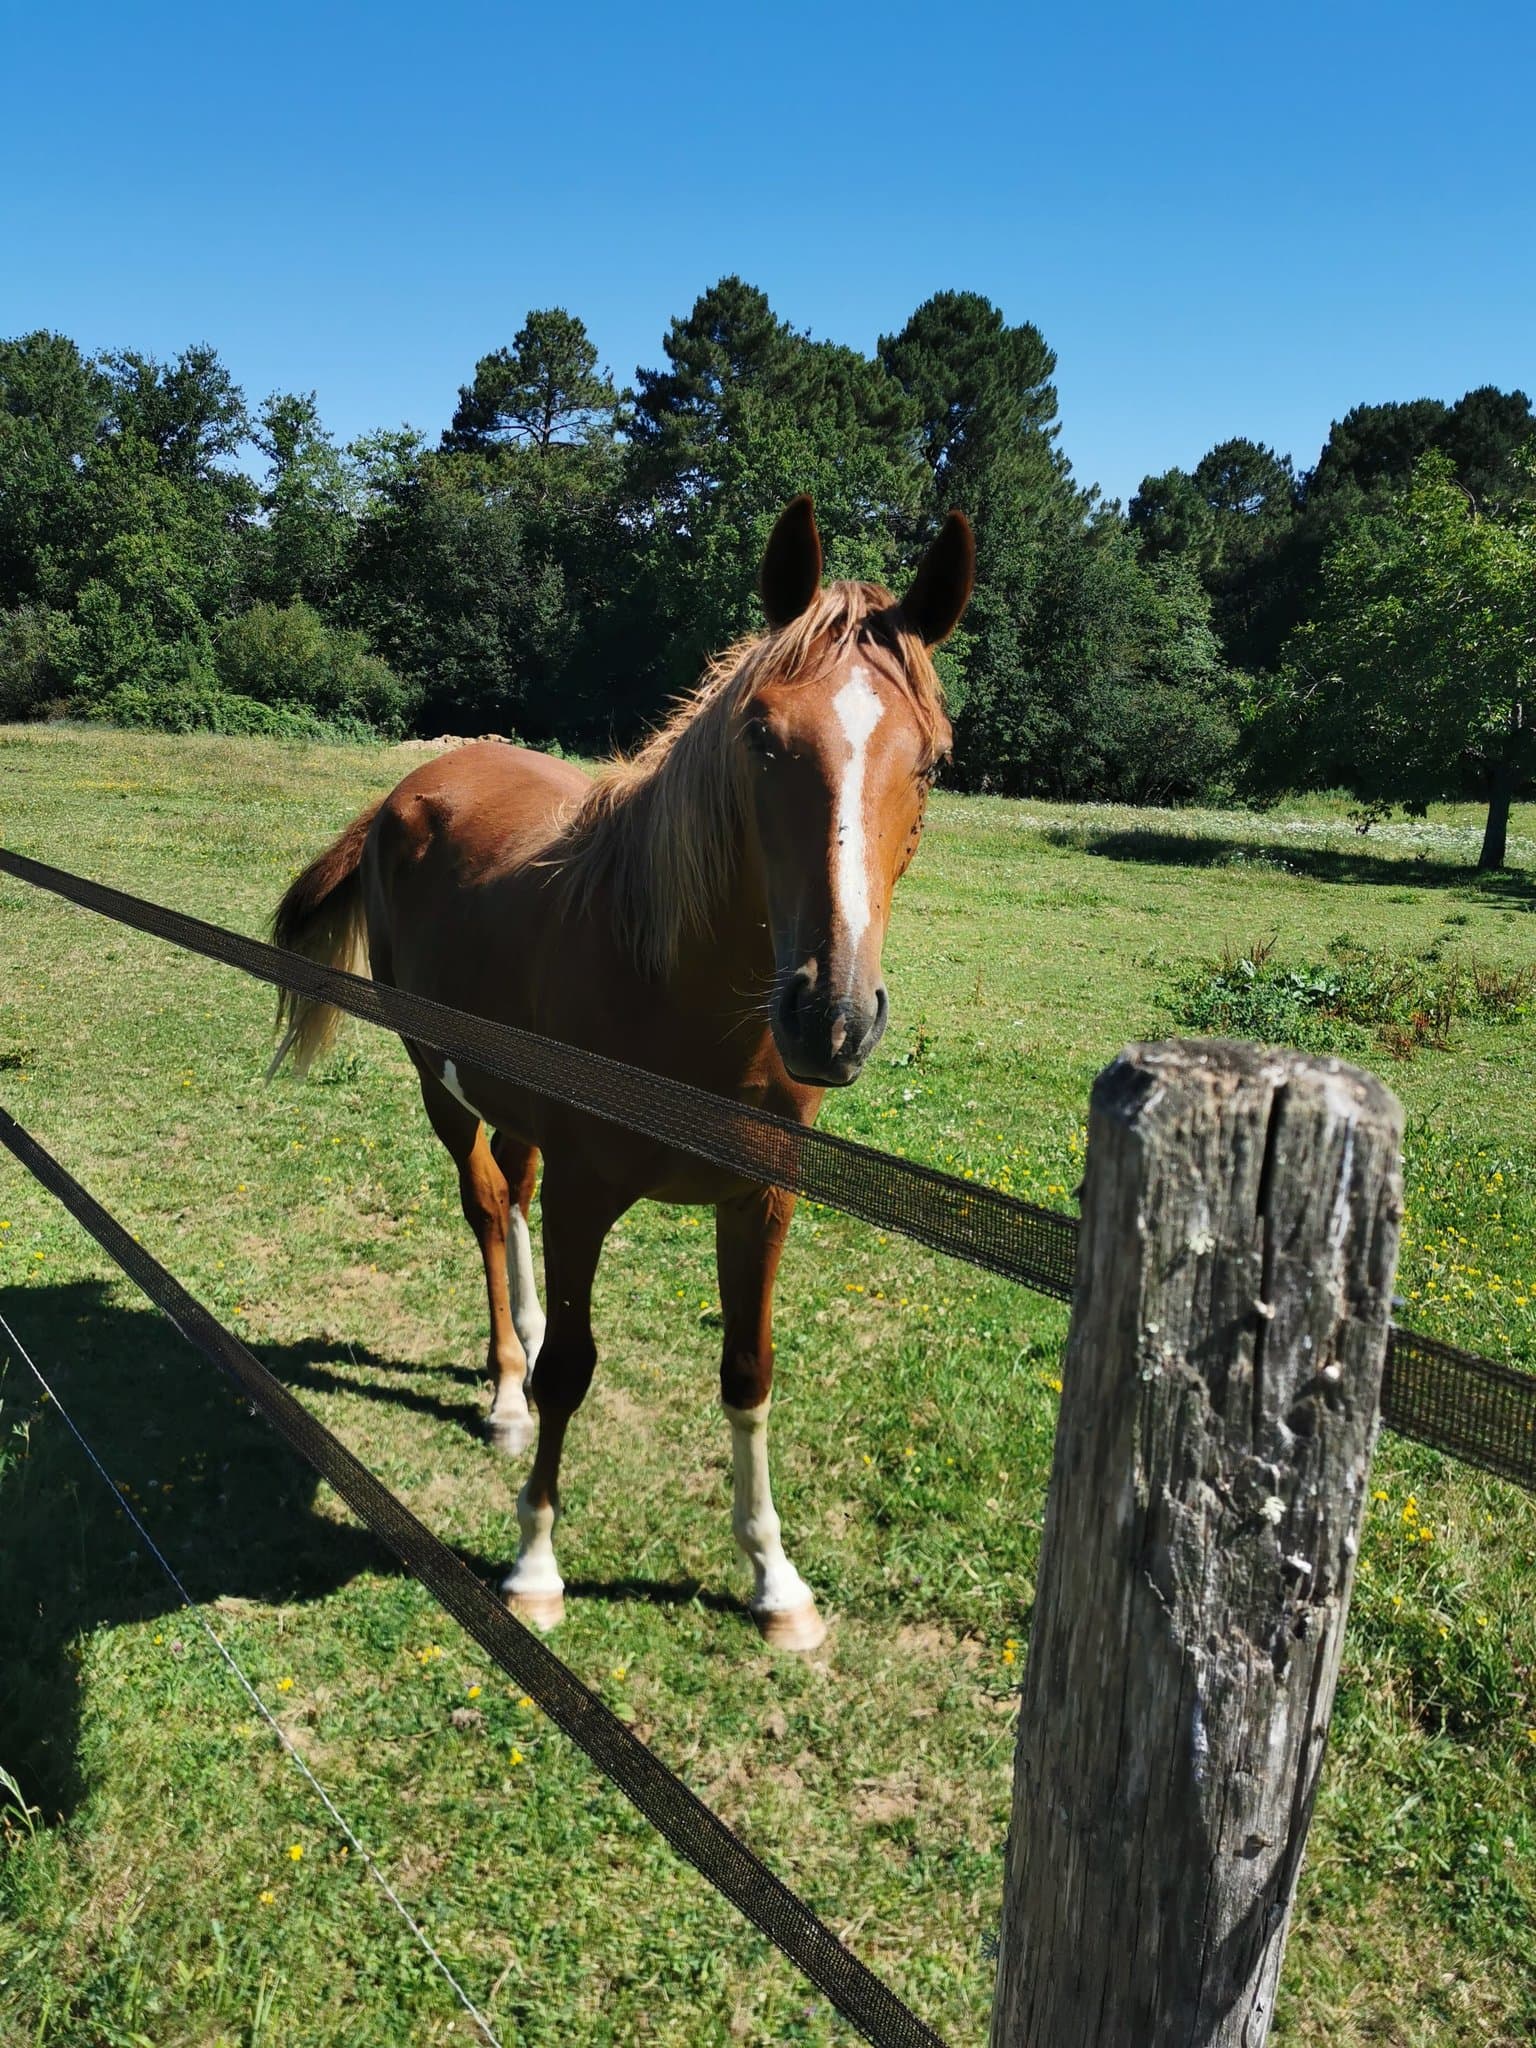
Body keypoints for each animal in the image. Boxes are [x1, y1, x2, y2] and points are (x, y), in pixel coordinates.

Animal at [268, 495, 974, 1652]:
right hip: (438, 1083)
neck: (680, 992)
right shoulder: (592, 1193)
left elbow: (749, 1371)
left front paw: (776, 1580)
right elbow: (573, 1370)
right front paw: (534, 1565)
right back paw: (505, 1392)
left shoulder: (763, 1200)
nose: (831, 1019)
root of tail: (410, 787)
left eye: (932, 762)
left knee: (513, 1189)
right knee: (486, 1203)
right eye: (761, 736)